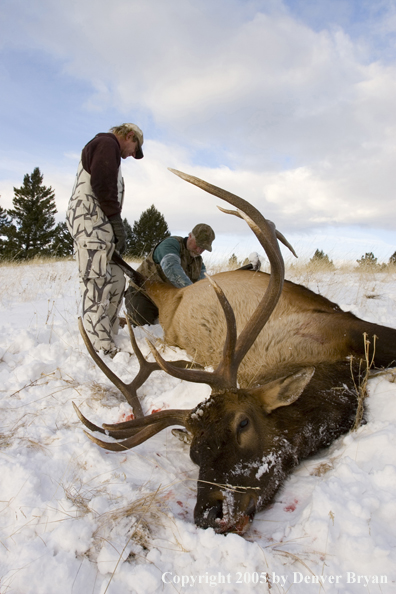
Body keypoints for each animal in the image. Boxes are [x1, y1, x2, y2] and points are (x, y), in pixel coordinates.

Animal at [72, 169, 394, 536]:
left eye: (243, 423)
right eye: (194, 453)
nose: (210, 514)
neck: (330, 371)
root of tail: (169, 296)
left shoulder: (344, 327)